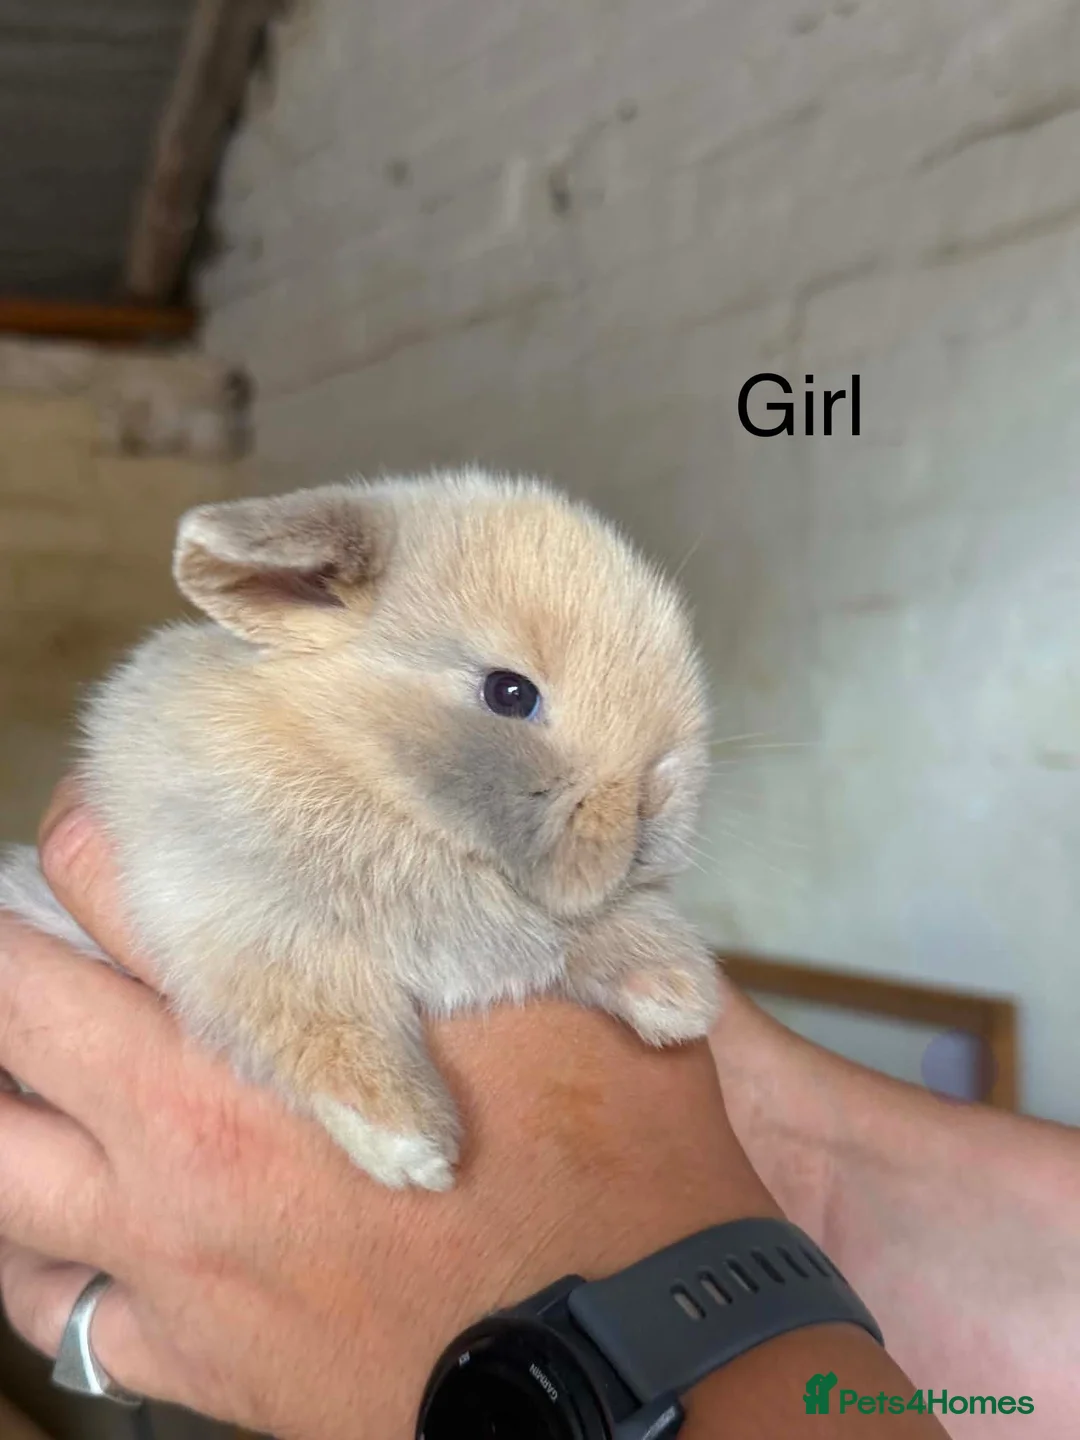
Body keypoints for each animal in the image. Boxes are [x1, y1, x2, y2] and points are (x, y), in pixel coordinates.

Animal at [0, 468, 720, 1190]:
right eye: (509, 693)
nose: (656, 801)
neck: (376, 775)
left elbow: (613, 932)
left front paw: (679, 997)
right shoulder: (256, 939)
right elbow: (332, 1038)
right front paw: (413, 1148)